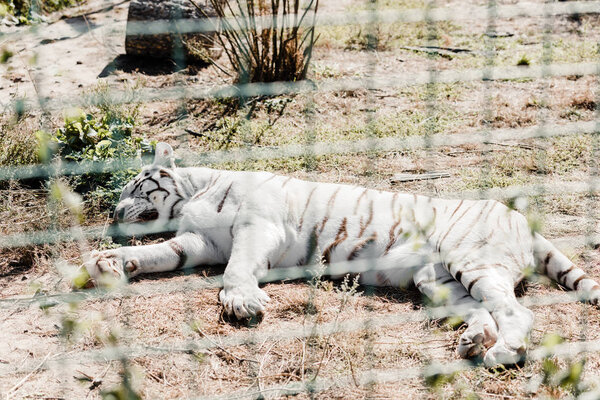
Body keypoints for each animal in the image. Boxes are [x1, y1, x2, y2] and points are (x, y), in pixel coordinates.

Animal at [83, 142, 600, 368]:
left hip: (471, 260)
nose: (113, 211)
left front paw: (242, 302)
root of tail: (521, 218)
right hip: (435, 279)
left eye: (135, 187)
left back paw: (503, 352)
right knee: (484, 311)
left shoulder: (256, 227)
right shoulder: (198, 243)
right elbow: (160, 252)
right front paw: (111, 261)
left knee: (518, 312)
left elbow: (237, 269)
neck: (192, 193)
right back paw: (474, 341)